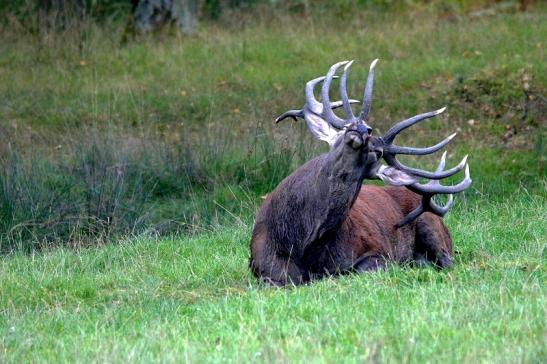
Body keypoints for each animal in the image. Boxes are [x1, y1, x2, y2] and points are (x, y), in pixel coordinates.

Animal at [250, 60, 474, 288]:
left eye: (377, 153)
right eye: (344, 130)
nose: (363, 128)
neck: (302, 244)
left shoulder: (376, 253)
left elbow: (355, 271)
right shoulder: (261, 265)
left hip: (430, 224)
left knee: (448, 261)